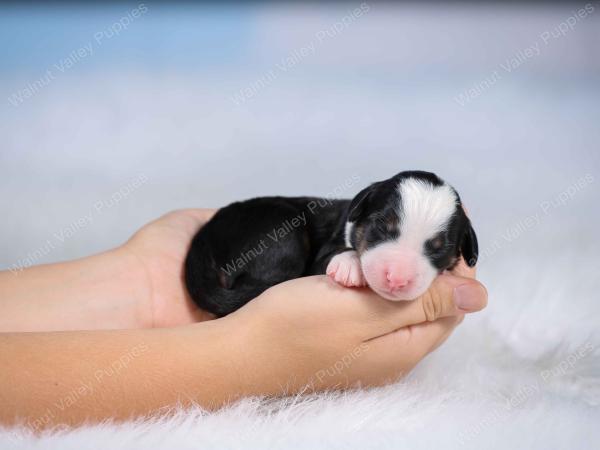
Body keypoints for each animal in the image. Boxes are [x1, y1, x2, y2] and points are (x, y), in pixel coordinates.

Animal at [185, 170, 480, 316]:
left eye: (439, 248)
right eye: (380, 227)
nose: (396, 279)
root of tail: (204, 238)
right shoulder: (321, 255)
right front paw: (350, 266)